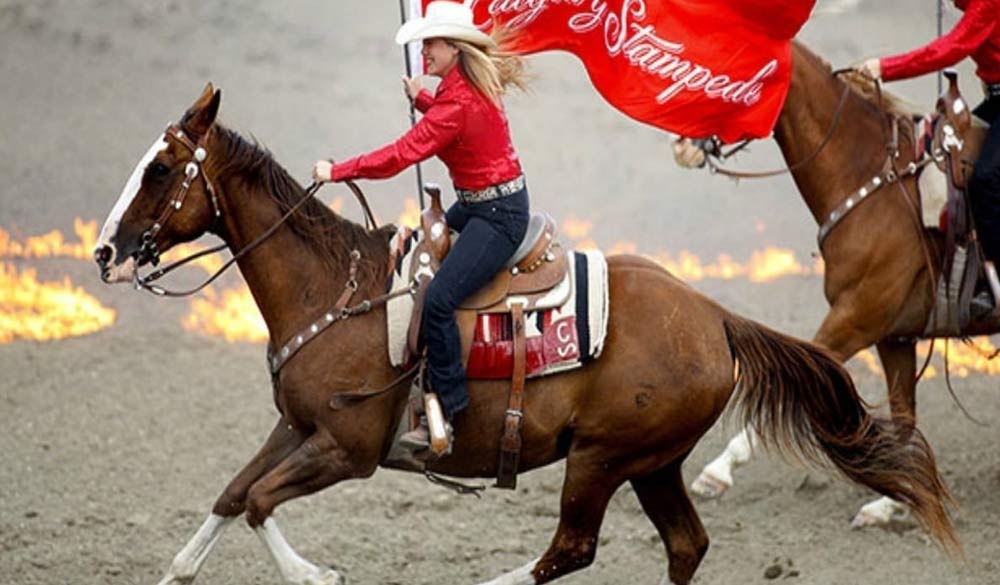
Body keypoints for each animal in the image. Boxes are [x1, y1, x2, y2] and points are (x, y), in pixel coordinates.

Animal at [97, 85, 956, 584]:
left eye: (160, 170)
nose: (106, 251)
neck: (335, 288)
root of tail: (716, 316)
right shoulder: (296, 425)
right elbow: (233, 491)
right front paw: (179, 569)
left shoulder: (348, 448)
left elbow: (258, 501)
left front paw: (316, 575)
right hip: (652, 462)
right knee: (684, 546)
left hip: (602, 458)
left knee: (570, 549)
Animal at [688, 42, 1000, 524]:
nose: (683, 144)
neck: (873, 178)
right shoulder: (894, 335)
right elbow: (904, 415)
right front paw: (894, 502)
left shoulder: (855, 318)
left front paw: (717, 471)